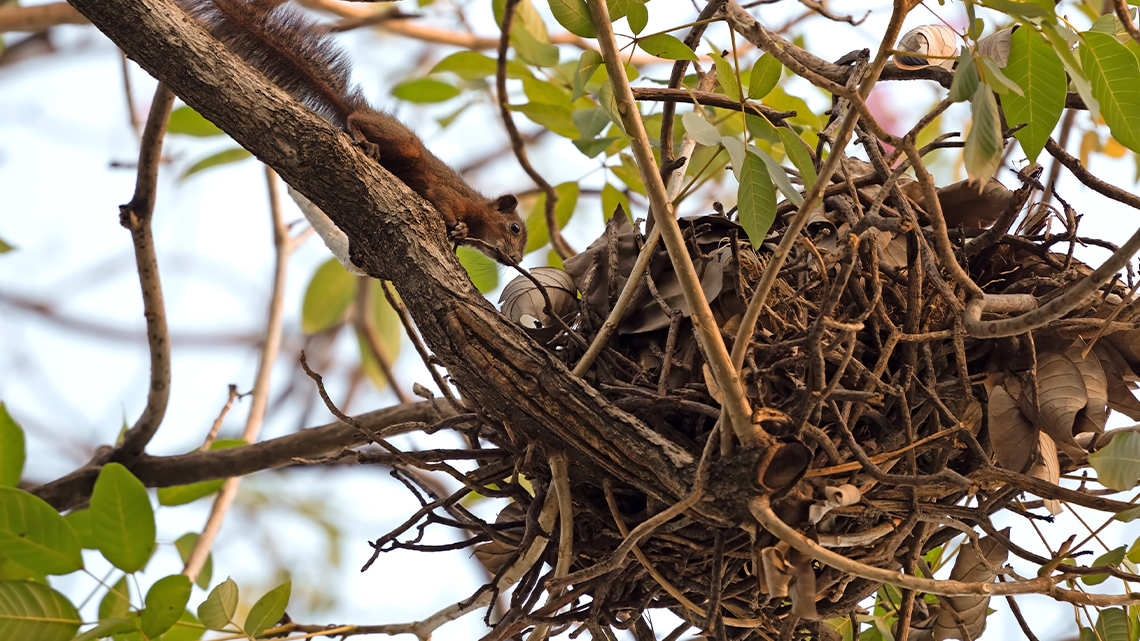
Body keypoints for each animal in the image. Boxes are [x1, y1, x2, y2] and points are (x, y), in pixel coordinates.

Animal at [185, 0, 528, 264]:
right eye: (514, 228)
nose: (515, 260)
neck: (479, 210)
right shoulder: (451, 195)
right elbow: (442, 201)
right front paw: (457, 228)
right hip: (404, 143)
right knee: (354, 119)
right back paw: (362, 138)